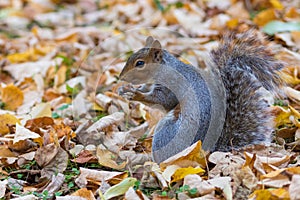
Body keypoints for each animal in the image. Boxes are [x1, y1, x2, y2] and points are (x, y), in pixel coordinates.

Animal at [117, 30, 284, 162]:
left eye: (140, 63)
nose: (121, 77)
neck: (165, 68)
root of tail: (207, 150)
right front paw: (126, 89)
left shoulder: (172, 85)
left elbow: (163, 101)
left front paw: (136, 94)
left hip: (167, 134)